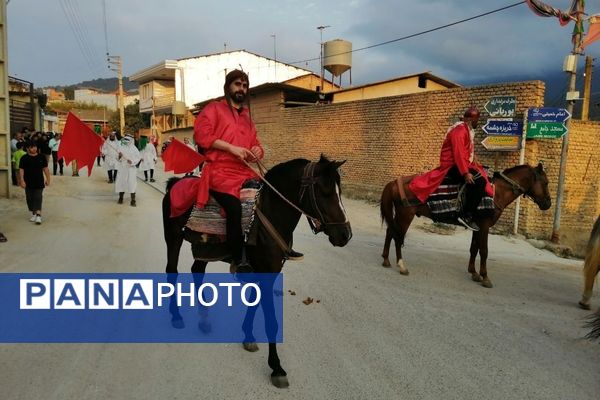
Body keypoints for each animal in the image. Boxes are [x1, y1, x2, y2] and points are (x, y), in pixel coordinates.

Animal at [382, 162, 552, 288]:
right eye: (546, 182)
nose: (548, 204)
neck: (496, 192)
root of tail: (395, 182)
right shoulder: (485, 225)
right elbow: (484, 250)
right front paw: (485, 277)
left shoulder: (477, 225)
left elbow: (474, 248)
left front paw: (474, 272)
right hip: (406, 215)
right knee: (398, 237)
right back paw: (401, 266)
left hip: (399, 215)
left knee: (390, 232)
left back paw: (386, 260)